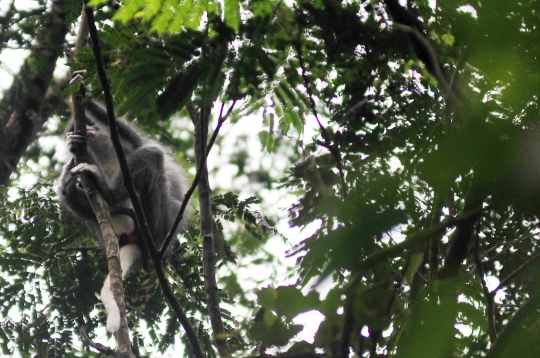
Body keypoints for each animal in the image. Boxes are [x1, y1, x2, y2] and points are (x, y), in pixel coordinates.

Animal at [57, 100, 190, 332]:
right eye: (79, 127)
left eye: (91, 122)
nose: (89, 128)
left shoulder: (129, 140)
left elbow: (126, 133)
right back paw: (72, 189)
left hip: (159, 224)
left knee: (152, 155)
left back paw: (108, 191)